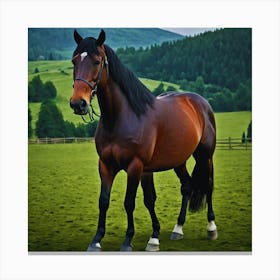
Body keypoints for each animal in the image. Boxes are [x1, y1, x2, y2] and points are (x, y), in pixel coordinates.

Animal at [69, 29, 218, 252]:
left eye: (96, 61)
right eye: (74, 61)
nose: (78, 103)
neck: (122, 117)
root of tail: (201, 103)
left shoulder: (135, 166)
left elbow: (129, 202)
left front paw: (127, 241)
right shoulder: (107, 165)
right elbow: (110, 200)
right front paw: (98, 240)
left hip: (205, 156)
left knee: (207, 185)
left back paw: (211, 227)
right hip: (179, 161)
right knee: (187, 186)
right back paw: (178, 228)